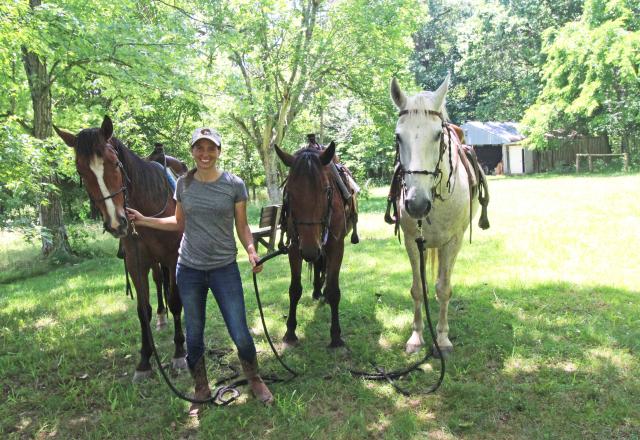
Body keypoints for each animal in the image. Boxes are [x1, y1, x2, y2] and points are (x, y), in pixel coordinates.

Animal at [55, 117, 186, 382]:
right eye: (80, 171)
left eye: (115, 163)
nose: (117, 223)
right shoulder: (135, 264)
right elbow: (143, 311)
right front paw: (144, 361)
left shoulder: (172, 257)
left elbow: (176, 302)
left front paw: (179, 352)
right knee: (159, 281)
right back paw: (161, 318)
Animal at [274, 141, 356, 348]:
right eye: (289, 193)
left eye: (327, 190)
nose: (310, 250)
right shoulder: (295, 247)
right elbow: (294, 289)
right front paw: (290, 332)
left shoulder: (336, 246)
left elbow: (334, 291)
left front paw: (336, 337)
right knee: (319, 264)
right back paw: (318, 290)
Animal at [388, 75, 488, 356]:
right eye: (398, 137)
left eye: (437, 136)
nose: (417, 204)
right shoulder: (412, 241)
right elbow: (417, 289)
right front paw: (416, 337)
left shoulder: (453, 242)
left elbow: (443, 289)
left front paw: (442, 339)